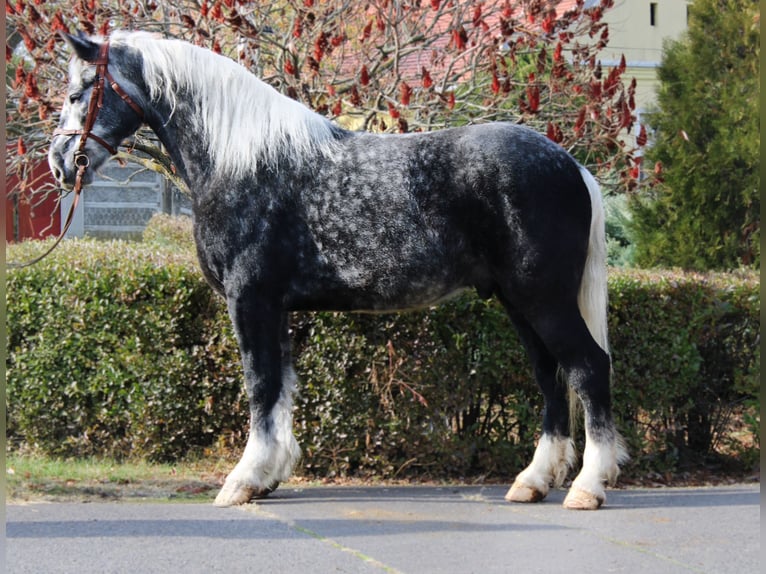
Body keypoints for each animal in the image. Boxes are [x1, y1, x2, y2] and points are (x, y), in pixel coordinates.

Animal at [49, 30, 627, 510]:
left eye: (79, 92)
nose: (58, 160)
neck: (240, 158)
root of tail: (572, 167)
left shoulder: (250, 300)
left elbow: (260, 386)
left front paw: (243, 480)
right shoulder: (274, 307)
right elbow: (281, 387)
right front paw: (270, 474)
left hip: (543, 299)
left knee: (587, 368)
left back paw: (587, 486)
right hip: (519, 302)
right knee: (550, 378)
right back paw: (534, 481)